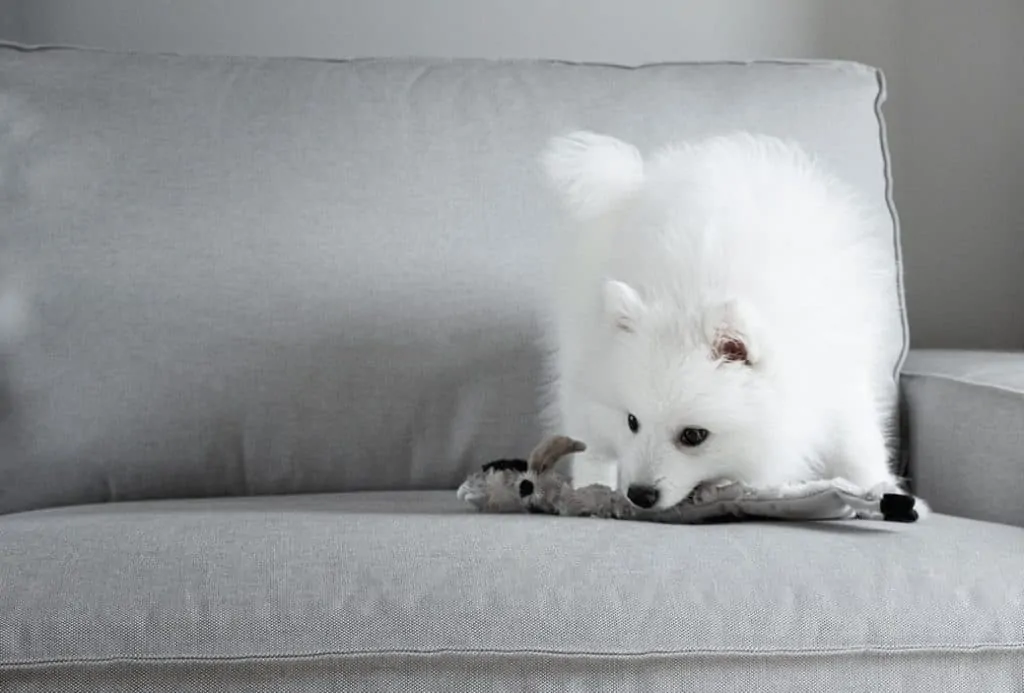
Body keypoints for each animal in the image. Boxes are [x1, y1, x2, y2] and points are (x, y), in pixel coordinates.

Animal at [536, 130, 905, 511]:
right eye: (632, 421)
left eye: (694, 436)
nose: (640, 495)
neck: (692, 296)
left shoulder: (837, 373)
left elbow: (858, 444)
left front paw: (883, 488)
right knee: (587, 436)